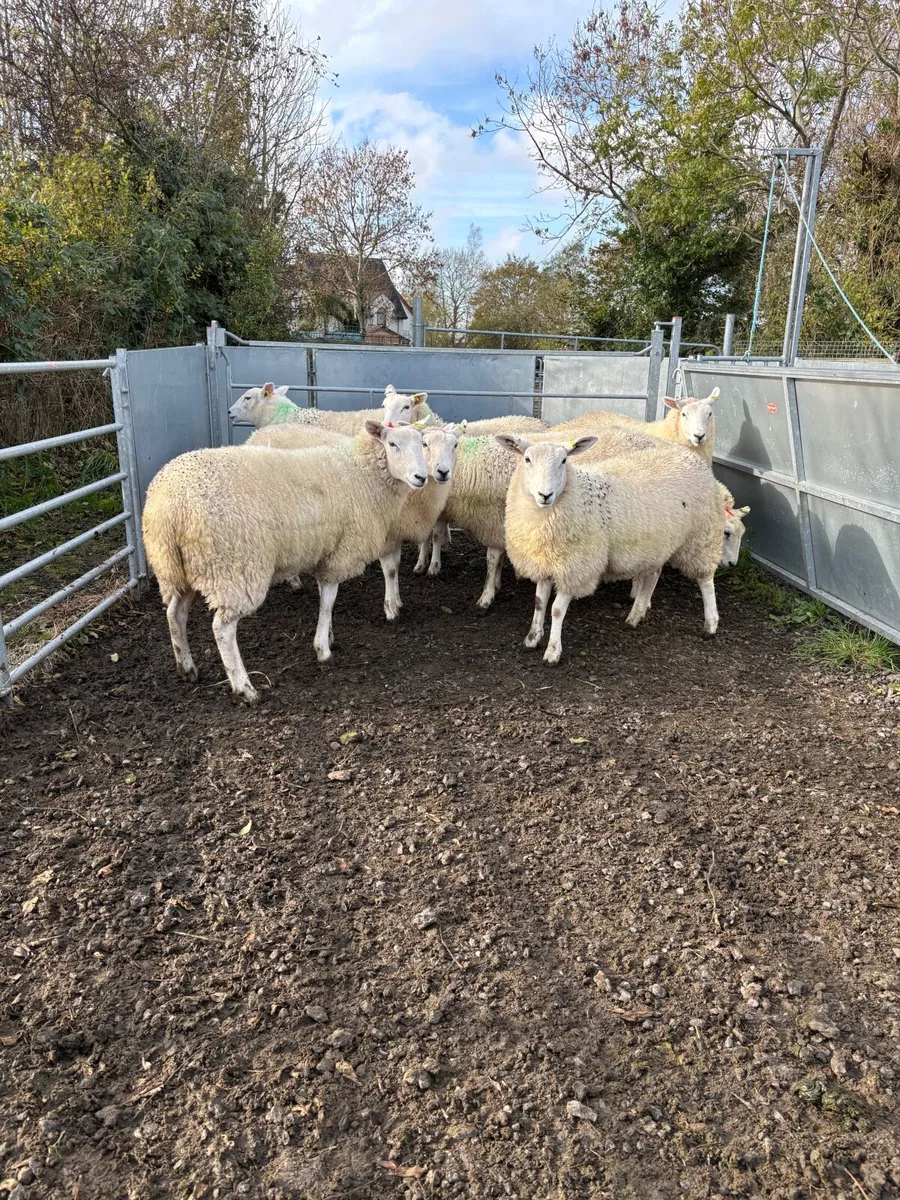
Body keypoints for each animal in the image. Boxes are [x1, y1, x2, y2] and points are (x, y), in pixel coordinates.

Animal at [142, 422, 429, 703]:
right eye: (392, 444)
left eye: (423, 444)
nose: (421, 477)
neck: (361, 472)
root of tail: (168, 508)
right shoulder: (340, 554)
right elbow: (328, 600)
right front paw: (323, 649)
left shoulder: (323, 551)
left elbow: (325, 598)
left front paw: (329, 636)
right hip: (233, 568)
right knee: (222, 628)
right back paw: (245, 688)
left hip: (180, 568)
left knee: (175, 614)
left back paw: (186, 668)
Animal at [497, 433, 723, 663]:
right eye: (527, 459)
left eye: (564, 460)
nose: (545, 495)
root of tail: (692, 456)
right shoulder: (545, 562)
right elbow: (539, 603)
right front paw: (532, 638)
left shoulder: (577, 568)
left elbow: (557, 610)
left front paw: (552, 651)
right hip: (657, 544)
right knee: (654, 573)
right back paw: (636, 615)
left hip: (701, 535)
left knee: (705, 580)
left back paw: (710, 623)